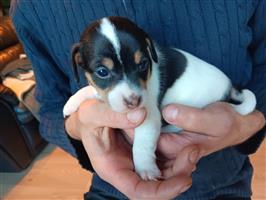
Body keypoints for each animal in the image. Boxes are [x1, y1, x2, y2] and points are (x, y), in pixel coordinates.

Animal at [63, 16, 256, 180]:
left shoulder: (150, 115)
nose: (134, 102)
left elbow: (142, 143)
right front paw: (72, 102)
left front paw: (145, 168)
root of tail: (229, 87)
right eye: (102, 72)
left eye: (143, 64)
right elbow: (92, 90)